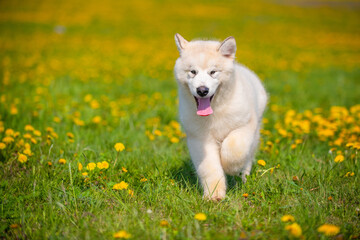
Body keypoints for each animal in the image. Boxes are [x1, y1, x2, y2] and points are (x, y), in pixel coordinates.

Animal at [174, 32, 268, 200]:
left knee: (248, 157)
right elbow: (209, 168)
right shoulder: (200, 140)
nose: (202, 90)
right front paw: (214, 194)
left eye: (213, 72)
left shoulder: (245, 126)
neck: (215, 111)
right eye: (193, 72)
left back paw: (243, 177)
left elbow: (234, 149)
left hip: (256, 131)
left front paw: (231, 168)